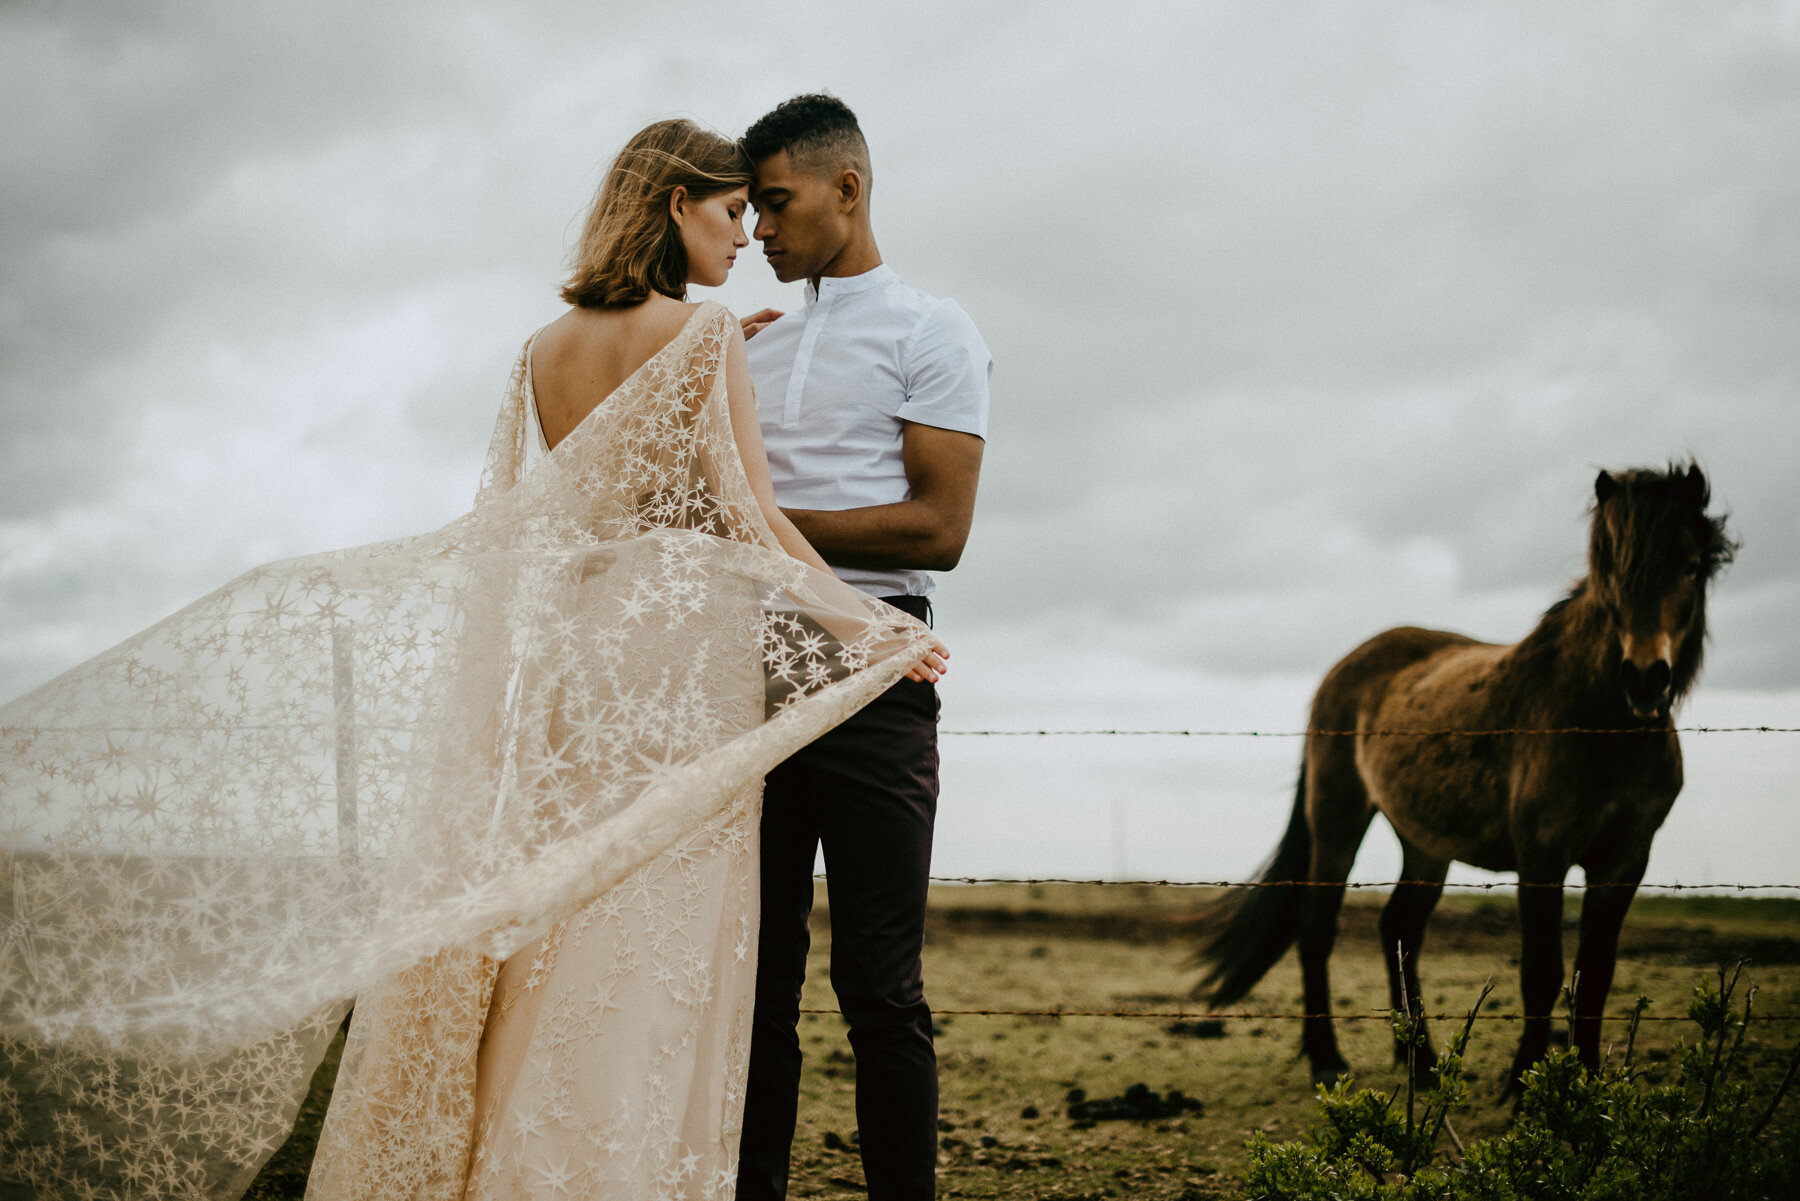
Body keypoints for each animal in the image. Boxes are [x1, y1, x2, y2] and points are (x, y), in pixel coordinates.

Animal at [1195, 464, 1728, 1094]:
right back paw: (1327, 1059)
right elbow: (1542, 971)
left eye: (1690, 565)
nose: (1645, 678)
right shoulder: (1542, 856)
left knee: (1399, 927)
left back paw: (1422, 1062)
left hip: (1425, 843)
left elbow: (1595, 974)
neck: (1601, 726)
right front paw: (1526, 1083)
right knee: (1317, 925)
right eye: (1613, 571)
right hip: (1338, 820)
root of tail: (1346, 666)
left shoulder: (1625, 861)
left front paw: (1583, 1084)